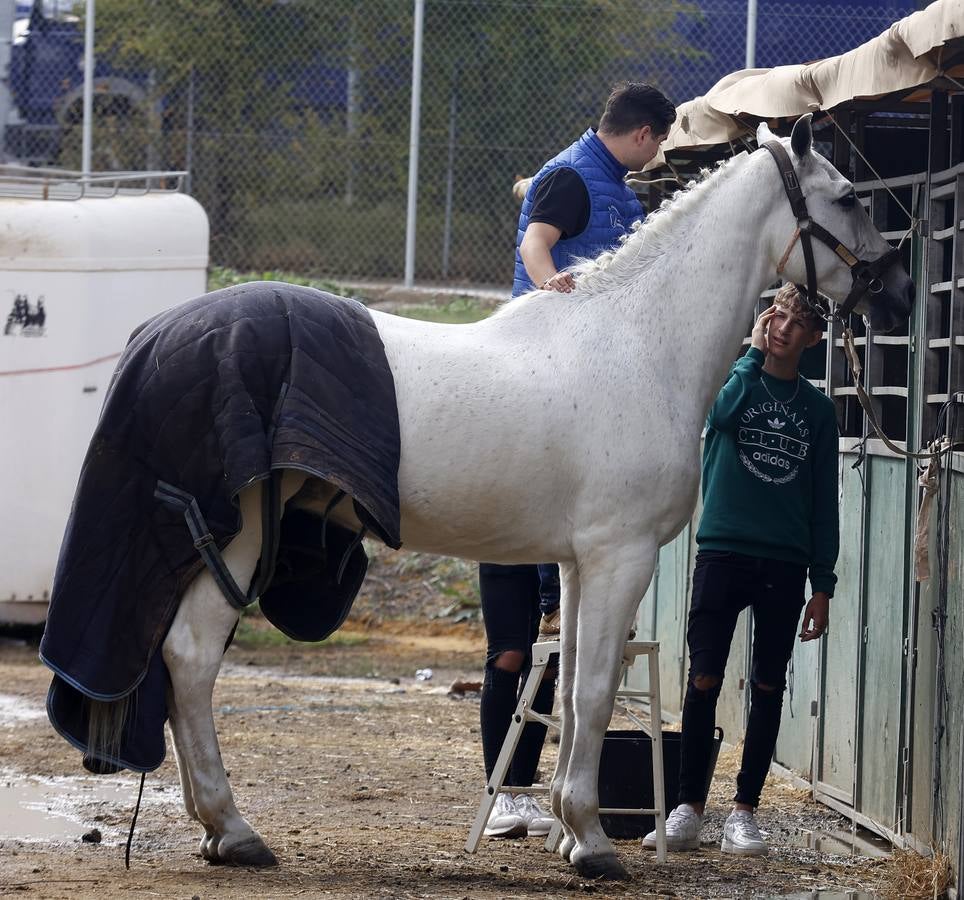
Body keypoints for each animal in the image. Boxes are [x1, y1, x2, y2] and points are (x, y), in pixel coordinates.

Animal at [104, 116, 914, 880]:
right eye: (849, 197)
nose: (899, 293)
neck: (639, 344)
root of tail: (163, 332)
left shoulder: (580, 565)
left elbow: (572, 689)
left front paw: (569, 828)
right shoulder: (620, 557)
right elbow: (594, 693)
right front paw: (593, 842)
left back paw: (215, 829)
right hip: (238, 540)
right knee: (192, 658)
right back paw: (233, 828)